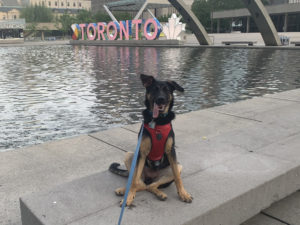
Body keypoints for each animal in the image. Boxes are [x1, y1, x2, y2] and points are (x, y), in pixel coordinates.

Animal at [109, 74, 192, 206]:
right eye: (154, 89)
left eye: (167, 90)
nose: (160, 99)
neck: (157, 121)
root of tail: (150, 177)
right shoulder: (141, 152)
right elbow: (134, 182)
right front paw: (129, 197)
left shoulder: (171, 151)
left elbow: (178, 179)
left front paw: (183, 194)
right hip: (130, 155)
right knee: (139, 183)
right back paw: (124, 191)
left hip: (178, 167)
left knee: (151, 186)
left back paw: (160, 194)